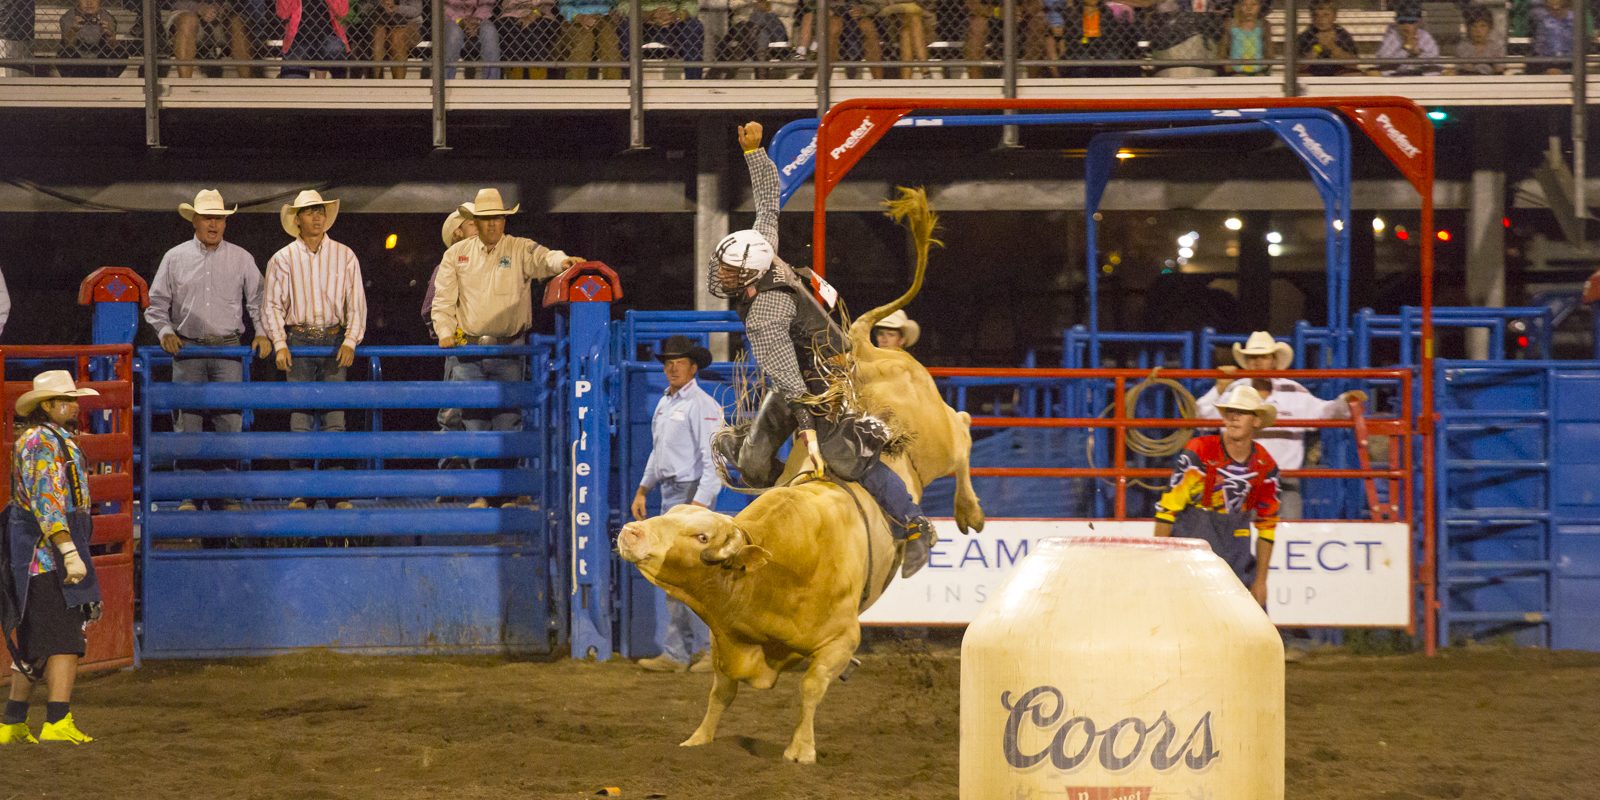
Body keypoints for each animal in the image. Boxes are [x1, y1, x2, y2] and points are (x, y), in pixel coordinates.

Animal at [614, 187, 979, 761]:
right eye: (669, 515)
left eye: (701, 535)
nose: (631, 531)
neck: (773, 570)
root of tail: (863, 346)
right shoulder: (729, 646)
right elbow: (720, 691)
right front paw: (698, 739)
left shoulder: (841, 639)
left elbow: (811, 687)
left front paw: (800, 749)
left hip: (933, 439)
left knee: (961, 430)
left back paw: (967, 514)